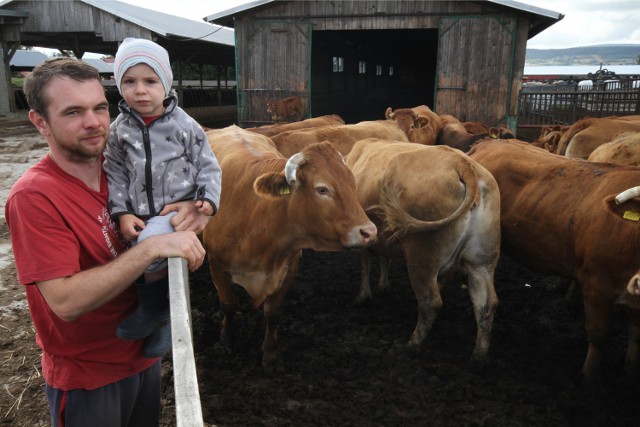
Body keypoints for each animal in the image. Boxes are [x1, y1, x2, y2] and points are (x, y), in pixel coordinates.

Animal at [204, 126, 376, 368]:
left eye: (352, 184)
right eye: (322, 189)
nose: (369, 232)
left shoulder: (289, 267)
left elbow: (273, 313)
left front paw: (270, 354)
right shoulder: (216, 264)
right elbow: (229, 304)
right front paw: (226, 340)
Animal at [344, 139, 500, 370]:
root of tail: (462, 163)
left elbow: (365, 265)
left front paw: (362, 297)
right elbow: (384, 260)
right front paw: (383, 286)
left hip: (422, 255)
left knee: (430, 301)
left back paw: (412, 344)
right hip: (481, 263)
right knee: (486, 304)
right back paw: (479, 358)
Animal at [468, 140, 640, 384]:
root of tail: (490, 142)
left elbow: (636, 335)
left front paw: (632, 370)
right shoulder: (596, 285)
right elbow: (598, 334)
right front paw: (591, 375)